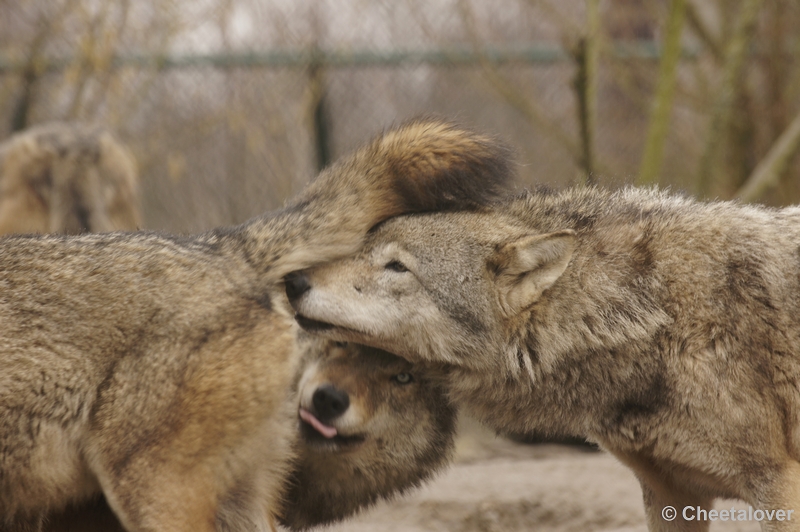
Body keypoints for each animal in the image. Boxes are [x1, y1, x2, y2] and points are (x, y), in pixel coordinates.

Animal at [288, 185, 800, 528]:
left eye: (397, 267)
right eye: (362, 249)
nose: (293, 280)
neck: (648, 313)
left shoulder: (778, 489)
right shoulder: (666, 495)